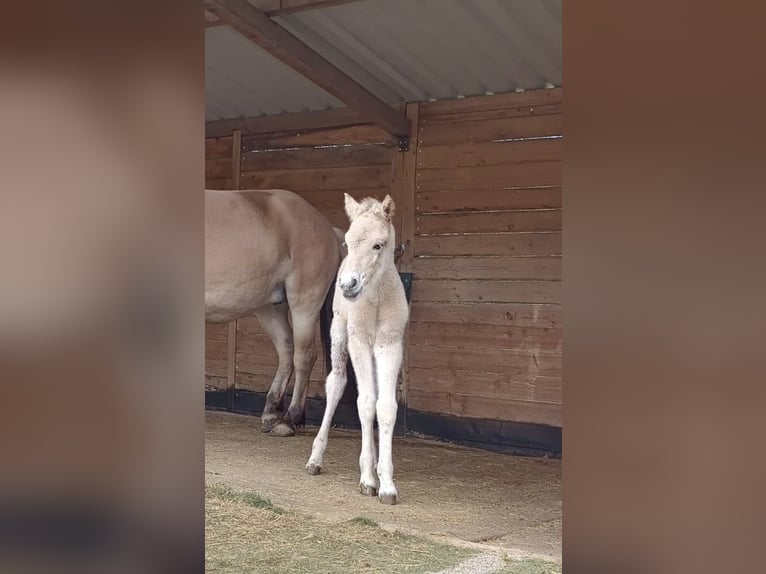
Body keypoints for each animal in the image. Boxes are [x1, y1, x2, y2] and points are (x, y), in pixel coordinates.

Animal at [205, 188, 343, 437]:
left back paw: (289, 419)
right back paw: (271, 413)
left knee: (304, 356)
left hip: (304, 303)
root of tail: (327, 227)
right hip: (270, 308)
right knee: (286, 351)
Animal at [306, 193, 409, 505]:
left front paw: (386, 484)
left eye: (378, 244)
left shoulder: (390, 345)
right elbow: (364, 403)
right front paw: (367, 479)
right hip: (339, 333)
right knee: (337, 383)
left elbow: (384, 406)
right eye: (348, 243)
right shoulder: (359, 342)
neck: (376, 302)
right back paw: (315, 459)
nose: (348, 284)